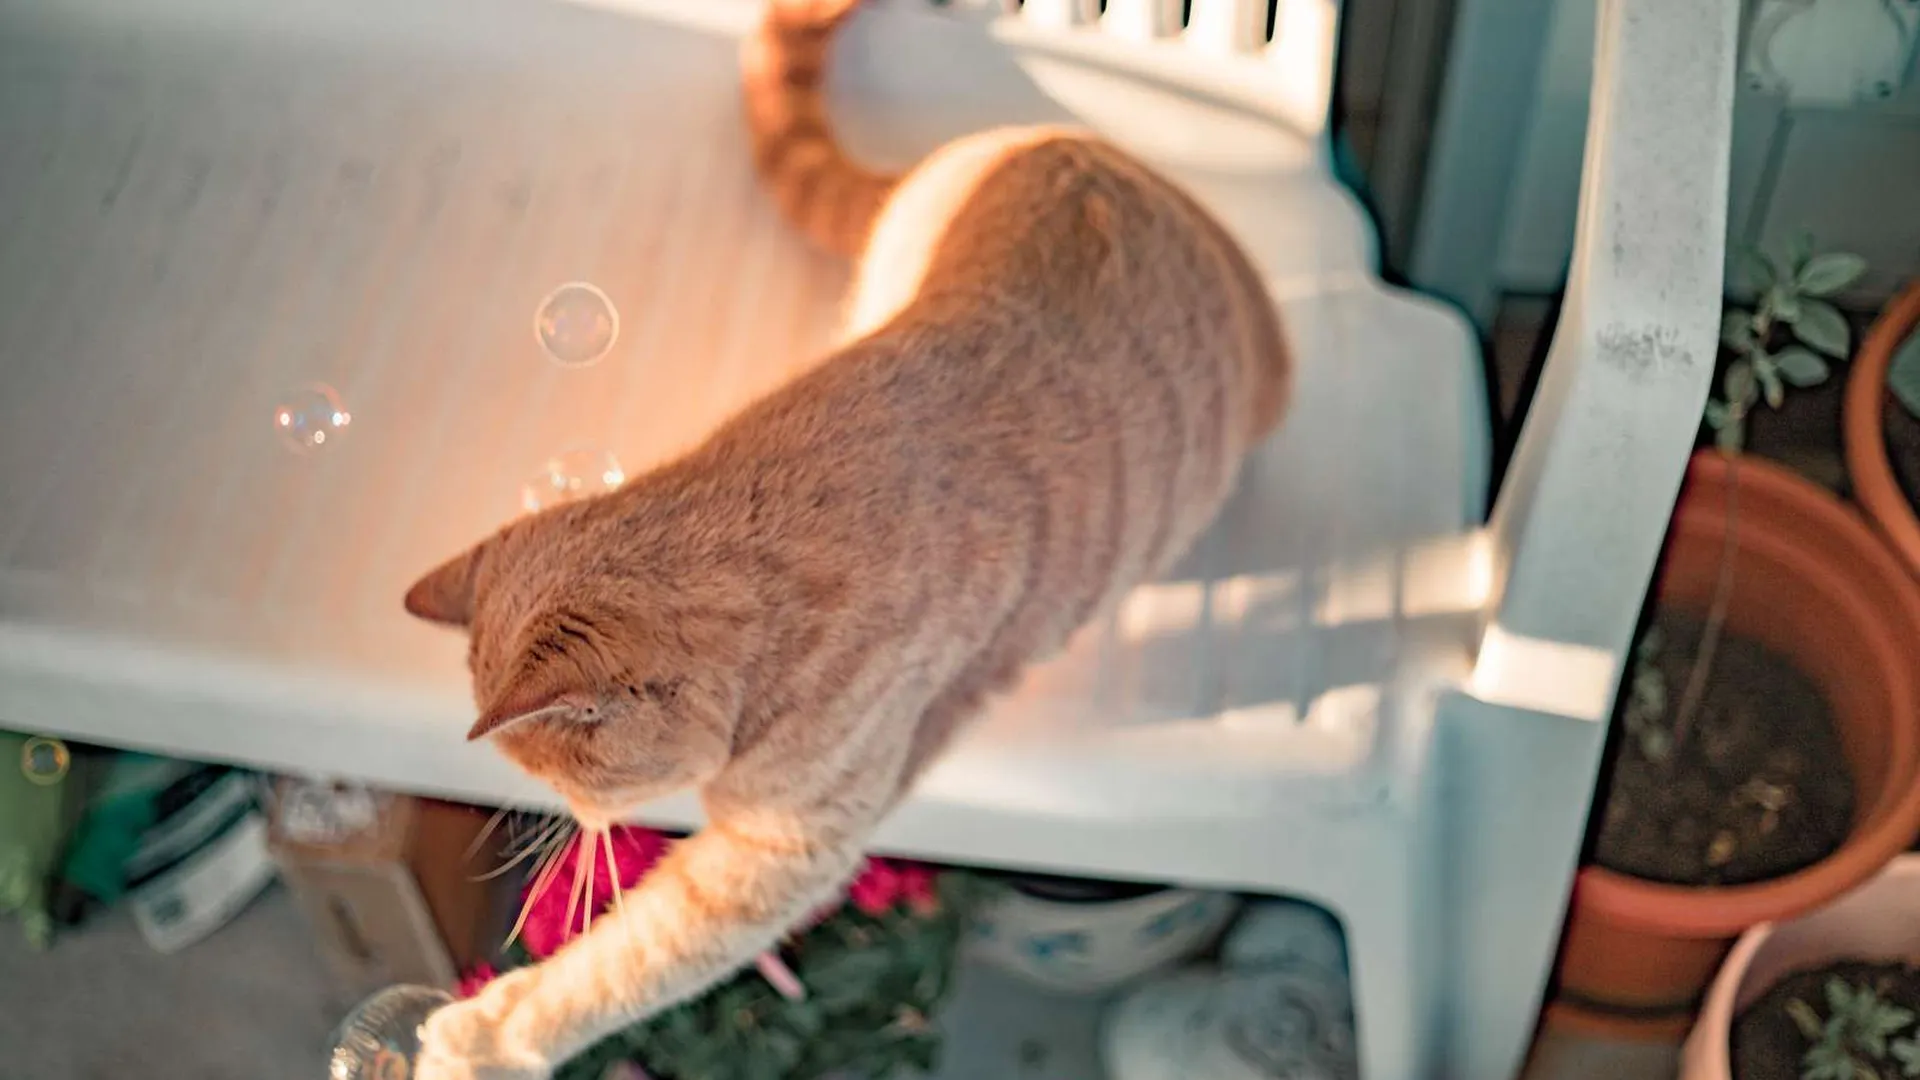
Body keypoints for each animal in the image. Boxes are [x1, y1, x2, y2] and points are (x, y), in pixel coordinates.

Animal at [409, 1, 1290, 1076]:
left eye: (571, 780)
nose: (583, 822)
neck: (756, 534)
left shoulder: (779, 853)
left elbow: (621, 964)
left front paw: (489, 1034)